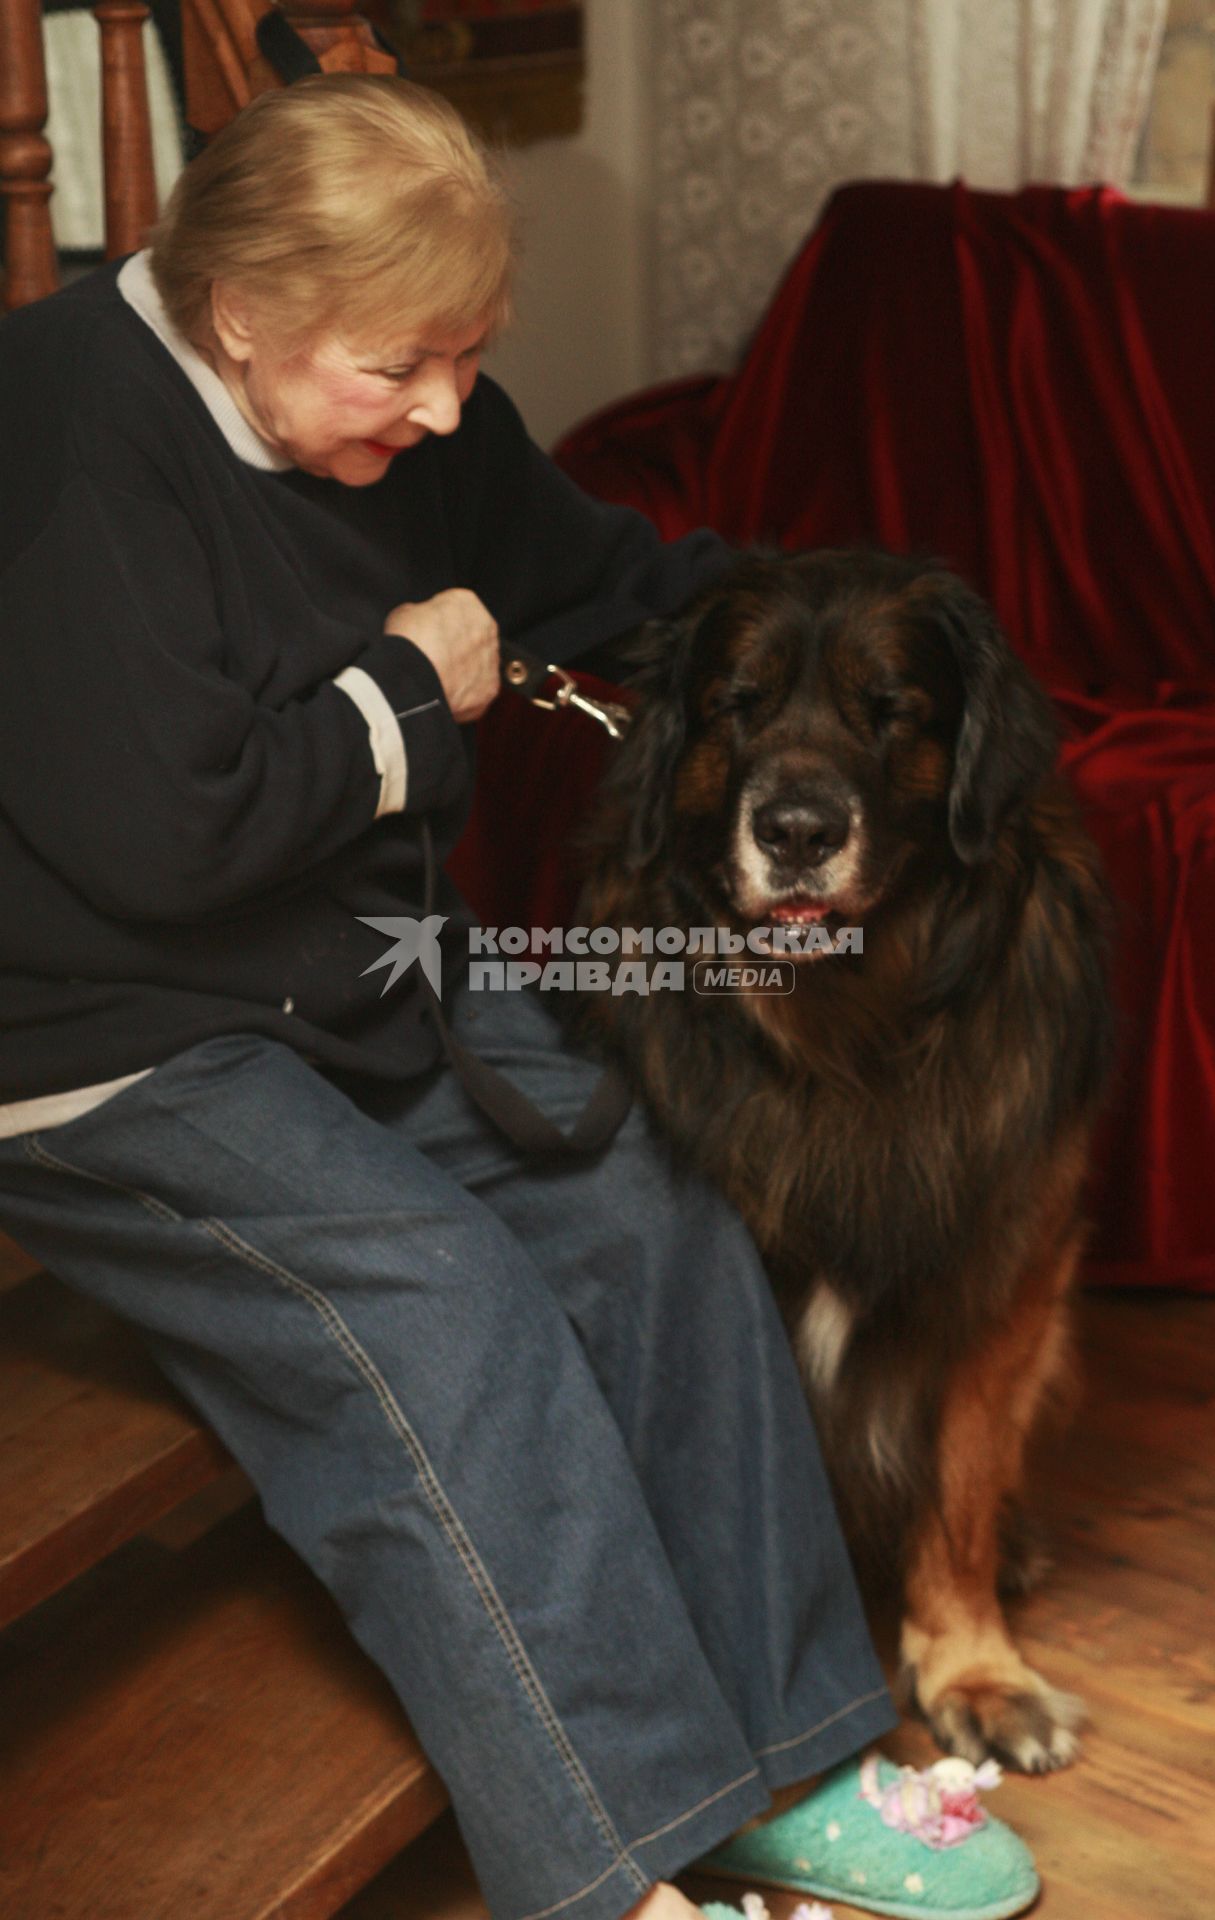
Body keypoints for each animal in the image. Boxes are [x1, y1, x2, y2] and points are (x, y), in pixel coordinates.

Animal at [571, 549, 1113, 1774]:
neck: (848, 1037)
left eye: (892, 708)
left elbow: (959, 1484)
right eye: (738, 702)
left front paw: (974, 1669)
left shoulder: (1008, 1279)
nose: (798, 831)